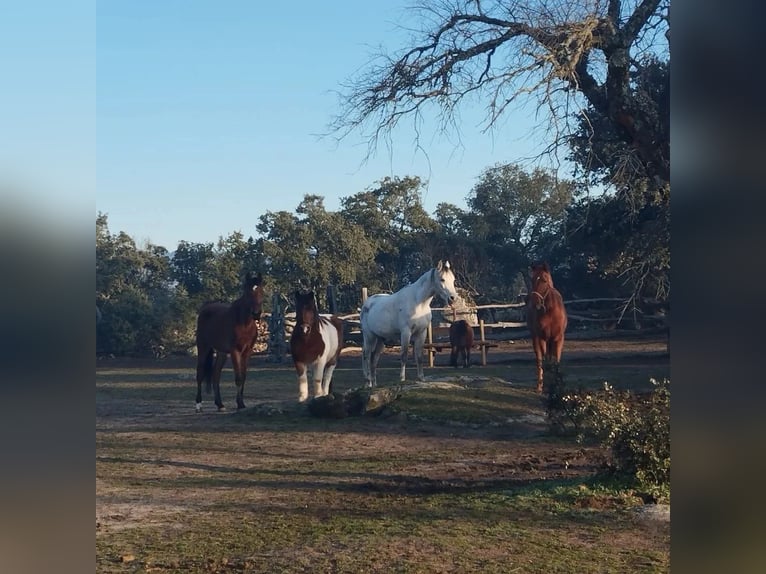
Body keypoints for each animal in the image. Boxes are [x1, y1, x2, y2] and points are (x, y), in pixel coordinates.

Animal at [196, 274, 266, 412]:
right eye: (247, 292)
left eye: (261, 291)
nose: (256, 313)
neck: (244, 324)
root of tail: (205, 309)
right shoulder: (235, 351)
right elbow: (238, 378)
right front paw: (240, 404)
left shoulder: (247, 351)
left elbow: (243, 377)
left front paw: (241, 403)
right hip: (203, 348)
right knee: (200, 373)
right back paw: (198, 405)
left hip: (221, 353)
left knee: (216, 375)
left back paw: (220, 404)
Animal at [364, 260, 460, 388]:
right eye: (442, 279)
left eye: (453, 280)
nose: (453, 298)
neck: (419, 303)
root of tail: (367, 303)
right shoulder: (406, 332)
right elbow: (404, 355)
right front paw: (402, 378)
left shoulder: (422, 333)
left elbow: (419, 357)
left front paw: (421, 378)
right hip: (369, 336)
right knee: (366, 356)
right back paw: (368, 382)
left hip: (380, 339)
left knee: (374, 359)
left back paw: (374, 384)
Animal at [528, 262, 568, 394]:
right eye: (532, 279)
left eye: (544, 280)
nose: (533, 301)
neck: (550, 311)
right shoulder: (542, 338)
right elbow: (545, 360)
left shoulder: (558, 338)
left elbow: (556, 361)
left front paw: (558, 384)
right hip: (536, 339)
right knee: (540, 360)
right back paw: (540, 386)